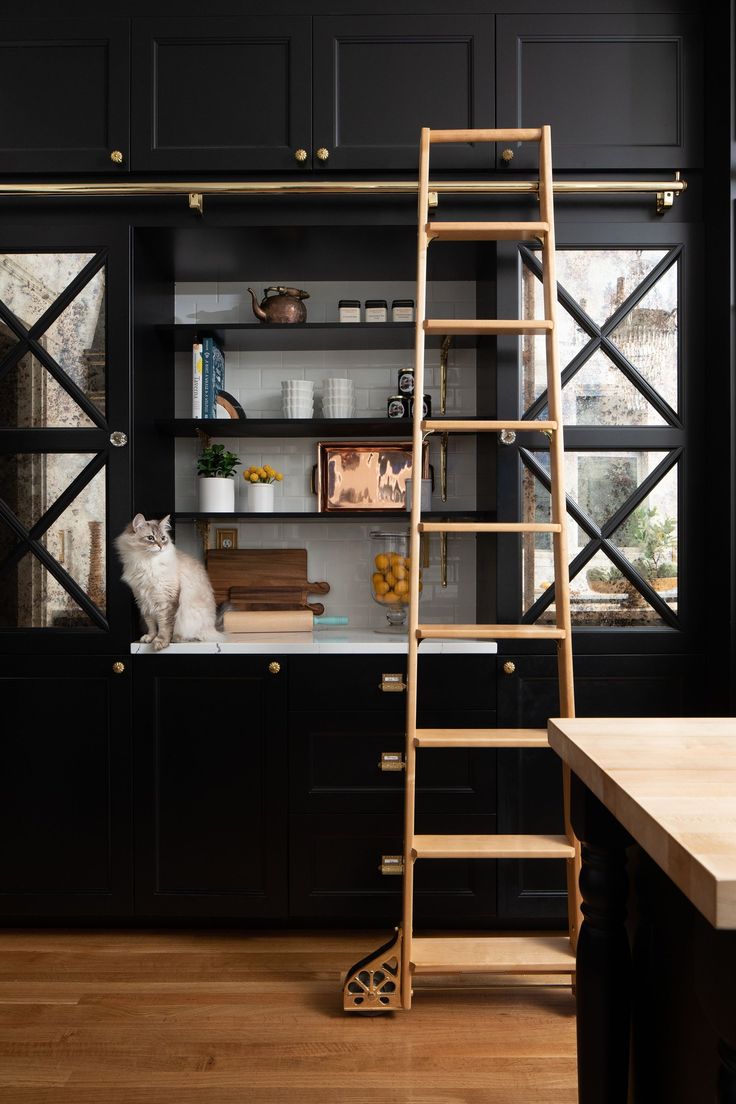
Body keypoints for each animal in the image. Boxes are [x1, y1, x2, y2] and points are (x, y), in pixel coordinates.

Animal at [114, 514, 225, 649]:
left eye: (163, 538)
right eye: (150, 538)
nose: (161, 546)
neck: (146, 563)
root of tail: (212, 627)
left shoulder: (165, 603)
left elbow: (164, 626)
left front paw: (160, 642)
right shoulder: (143, 601)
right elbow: (152, 625)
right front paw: (150, 638)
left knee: (196, 635)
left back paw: (178, 639)